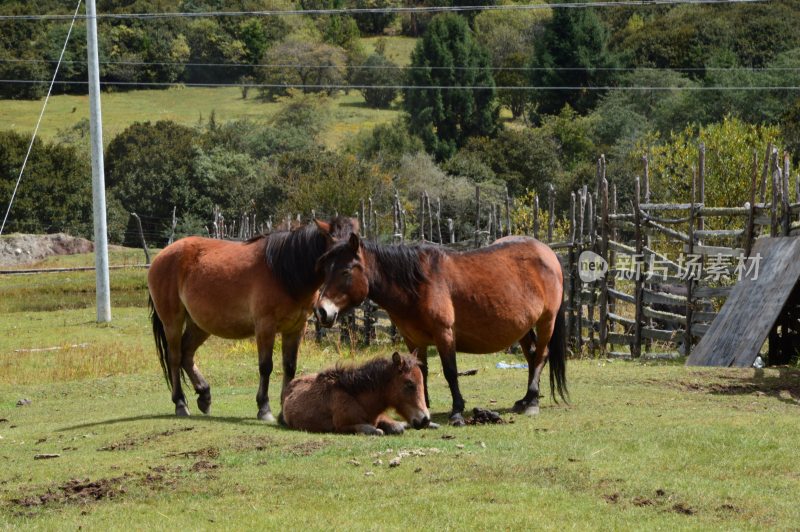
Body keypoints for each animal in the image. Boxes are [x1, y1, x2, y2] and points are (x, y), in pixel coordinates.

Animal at [146, 216, 356, 420]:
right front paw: (264, 408)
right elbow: (266, 366)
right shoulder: (265, 326)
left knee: (186, 354)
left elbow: (289, 367)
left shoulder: (296, 328)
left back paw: (204, 395)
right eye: (331, 258)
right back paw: (181, 403)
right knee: (174, 357)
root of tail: (162, 255)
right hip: (172, 321)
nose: (329, 313)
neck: (283, 272)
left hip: (199, 325)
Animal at [282, 352, 432, 434]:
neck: (355, 397)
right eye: (409, 384)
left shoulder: (380, 417)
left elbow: (397, 427)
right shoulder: (342, 427)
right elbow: (374, 430)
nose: (425, 419)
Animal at [314, 235, 568, 426]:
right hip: (523, 328)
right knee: (532, 356)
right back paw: (524, 400)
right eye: (326, 270)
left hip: (546, 321)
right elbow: (421, 372)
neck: (418, 284)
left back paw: (532, 402)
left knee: (541, 356)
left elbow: (450, 372)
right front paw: (422, 406)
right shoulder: (413, 340)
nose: (321, 311)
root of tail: (549, 254)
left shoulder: (444, 334)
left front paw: (457, 412)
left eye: (346, 271)